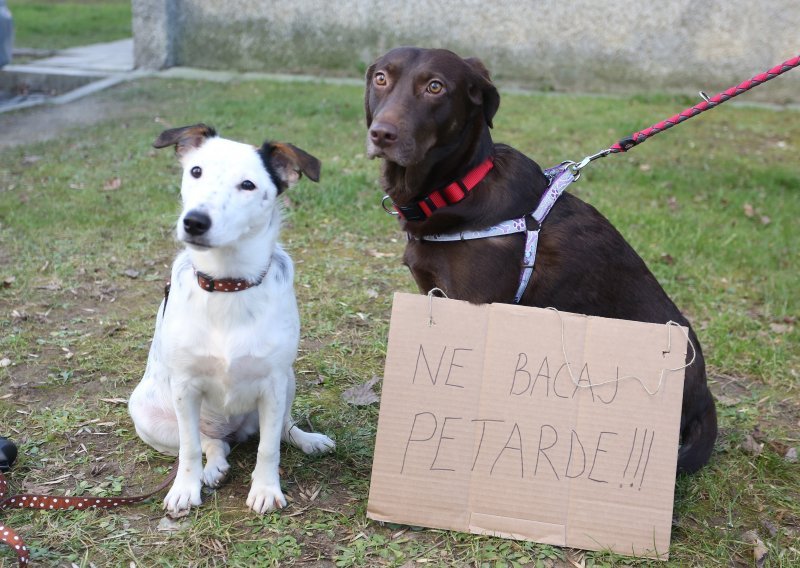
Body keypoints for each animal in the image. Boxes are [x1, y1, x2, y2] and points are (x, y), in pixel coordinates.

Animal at [130, 124, 334, 516]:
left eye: (248, 185)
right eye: (196, 171)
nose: (194, 221)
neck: (227, 284)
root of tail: (233, 430)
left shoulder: (273, 384)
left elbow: (268, 448)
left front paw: (266, 489)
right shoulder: (184, 387)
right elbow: (190, 448)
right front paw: (185, 488)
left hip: (288, 381)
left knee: (282, 430)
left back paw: (307, 440)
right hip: (148, 416)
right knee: (210, 443)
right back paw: (213, 467)